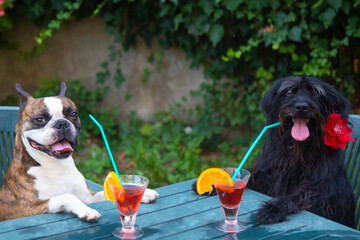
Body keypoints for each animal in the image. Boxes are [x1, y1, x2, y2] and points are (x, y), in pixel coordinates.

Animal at [0, 82, 158, 221]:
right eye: (40, 119)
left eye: (73, 114)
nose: (62, 123)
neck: (56, 165)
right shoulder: (30, 208)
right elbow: (67, 196)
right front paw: (86, 210)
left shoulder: (88, 197)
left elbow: (106, 193)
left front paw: (140, 193)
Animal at [249, 76, 356, 228]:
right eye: (289, 91)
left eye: (316, 93)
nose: (301, 107)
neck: (298, 154)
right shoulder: (265, 174)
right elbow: (249, 175)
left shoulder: (322, 192)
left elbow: (298, 195)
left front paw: (273, 209)